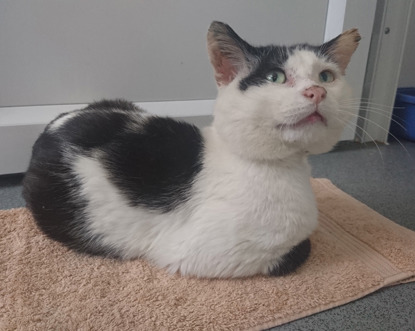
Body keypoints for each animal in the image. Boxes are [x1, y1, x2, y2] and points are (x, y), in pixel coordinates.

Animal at [22, 22, 360, 278]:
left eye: (326, 76)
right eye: (275, 76)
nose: (317, 92)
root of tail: (56, 122)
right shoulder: (204, 253)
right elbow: (299, 249)